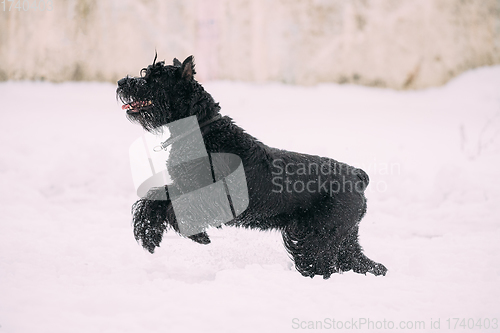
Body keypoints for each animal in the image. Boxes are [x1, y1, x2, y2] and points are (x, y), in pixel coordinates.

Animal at [116, 55, 386, 278]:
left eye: (154, 78)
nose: (121, 82)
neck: (202, 130)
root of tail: (358, 177)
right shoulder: (185, 186)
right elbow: (155, 200)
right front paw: (148, 233)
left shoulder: (209, 196)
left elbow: (172, 206)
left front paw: (195, 235)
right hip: (343, 238)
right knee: (364, 263)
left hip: (318, 237)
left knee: (320, 264)